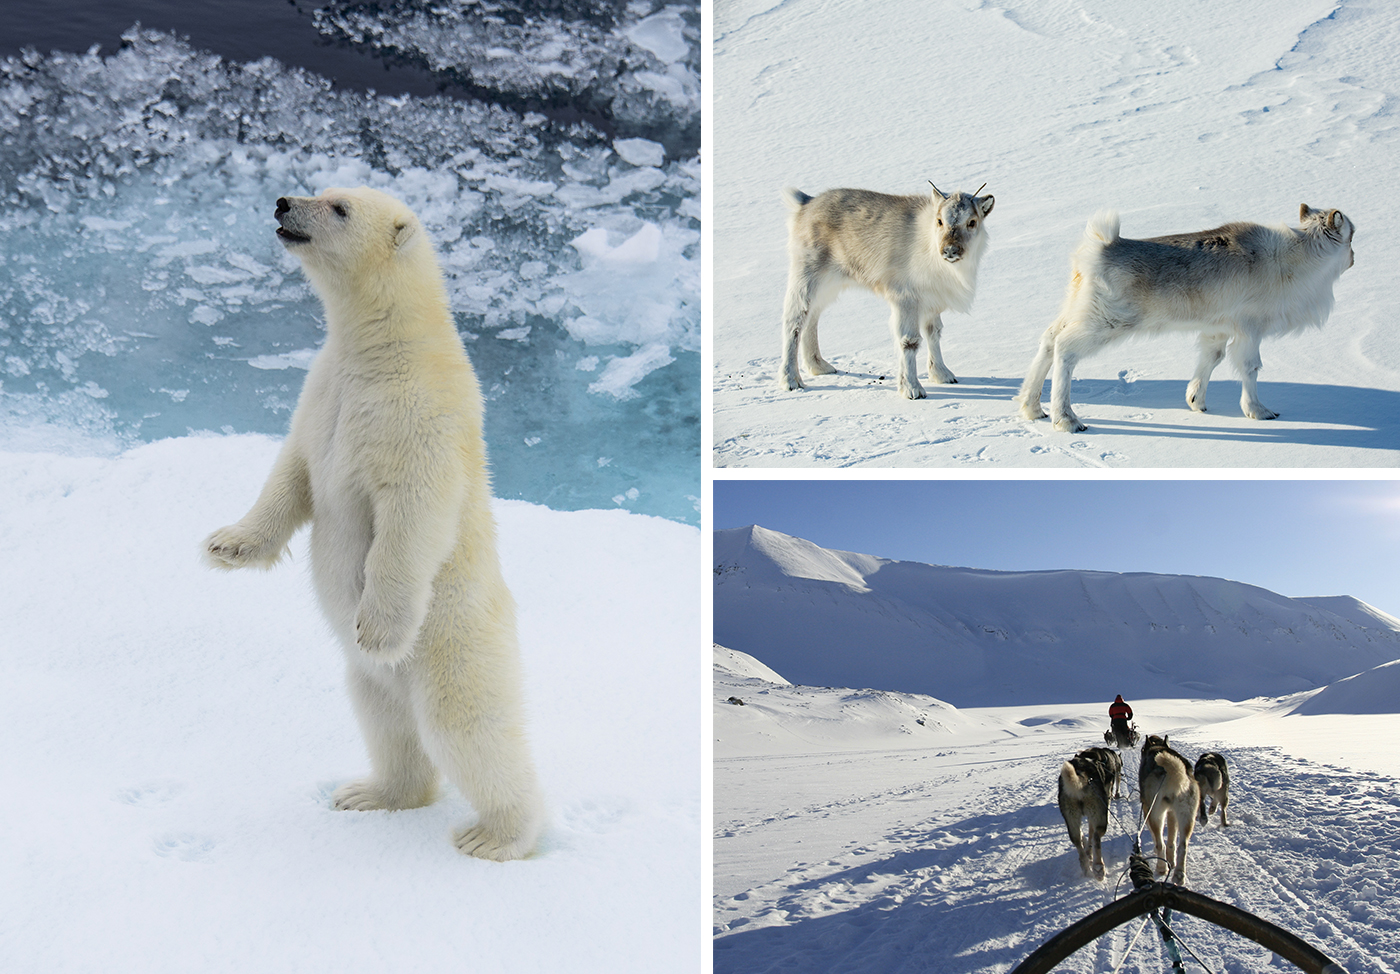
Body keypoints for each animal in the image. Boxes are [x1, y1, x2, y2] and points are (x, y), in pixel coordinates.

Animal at [203, 186, 540, 862]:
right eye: (320, 188)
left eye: (339, 208)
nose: (282, 202)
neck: (383, 350)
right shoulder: (322, 398)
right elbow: (293, 475)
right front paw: (226, 544)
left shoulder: (418, 416)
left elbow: (413, 515)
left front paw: (377, 628)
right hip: (377, 685)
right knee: (386, 720)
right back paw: (370, 793)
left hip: (453, 641)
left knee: (468, 728)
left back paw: (496, 836)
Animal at [778, 181, 996, 400]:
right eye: (940, 221)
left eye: (972, 222)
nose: (950, 250)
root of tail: (806, 202)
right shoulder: (906, 299)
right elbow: (909, 341)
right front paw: (912, 389)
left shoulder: (931, 301)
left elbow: (934, 333)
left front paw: (942, 375)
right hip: (807, 276)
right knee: (794, 321)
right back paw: (791, 380)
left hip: (829, 285)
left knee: (811, 319)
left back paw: (819, 365)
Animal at [1019, 205, 1355, 431]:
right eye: (1352, 237)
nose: (1353, 259)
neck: (1298, 258)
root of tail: (1097, 249)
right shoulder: (1249, 330)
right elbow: (1250, 369)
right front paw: (1259, 411)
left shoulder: (1217, 330)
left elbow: (1210, 360)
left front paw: (1197, 402)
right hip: (1106, 322)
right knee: (1065, 349)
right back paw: (1067, 419)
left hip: (1076, 309)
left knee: (1047, 340)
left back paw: (1032, 408)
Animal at [1052, 750, 1120, 878]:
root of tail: (1081, 774)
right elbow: (1091, 833)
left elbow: (1084, 835)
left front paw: (1087, 851)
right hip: (1099, 815)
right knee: (1096, 837)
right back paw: (1098, 868)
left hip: (1071, 817)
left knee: (1077, 840)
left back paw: (1085, 865)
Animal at [1136, 733, 1204, 878]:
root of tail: (1172, 772)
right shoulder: (1172, 813)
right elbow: (1172, 841)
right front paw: (1171, 861)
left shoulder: (1147, 809)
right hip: (1187, 817)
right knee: (1182, 846)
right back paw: (1178, 874)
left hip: (1156, 815)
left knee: (1160, 843)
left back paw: (1161, 867)